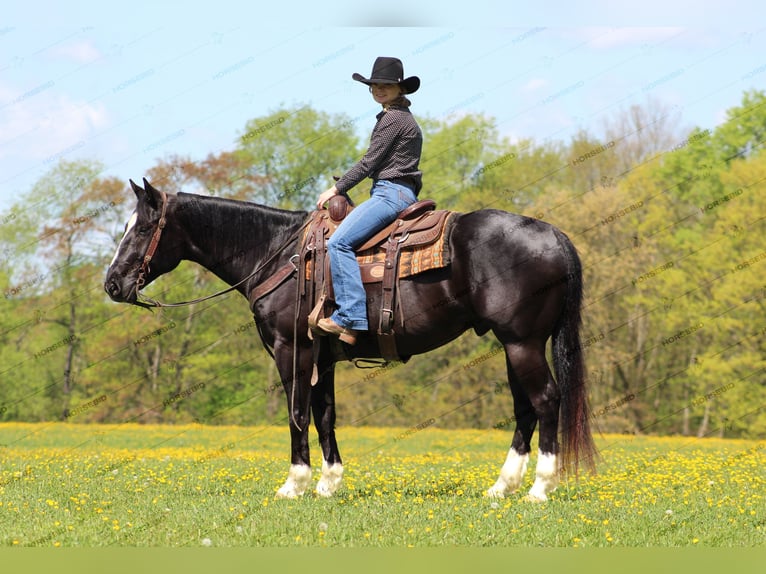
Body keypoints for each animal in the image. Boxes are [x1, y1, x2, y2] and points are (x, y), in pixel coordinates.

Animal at [105, 179, 596, 500]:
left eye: (142, 228)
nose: (112, 284)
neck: (278, 254)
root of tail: (551, 233)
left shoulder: (292, 350)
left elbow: (297, 413)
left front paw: (294, 484)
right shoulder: (323, 356)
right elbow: (325, 417)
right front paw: (329, 483)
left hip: (522, 342)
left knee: (546, 400)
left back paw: (539, 489)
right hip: (515, 344)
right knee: (524, 408)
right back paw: (501, 486)